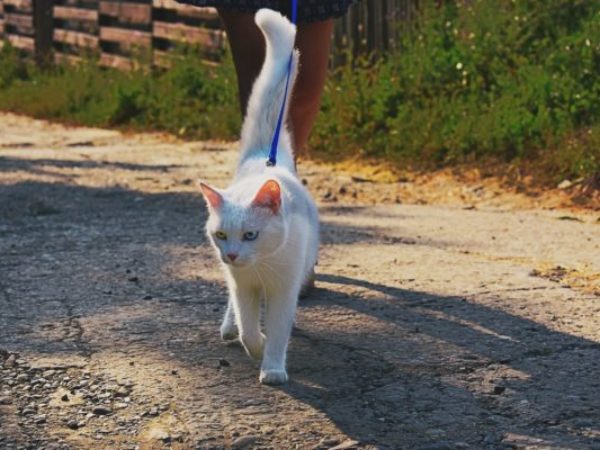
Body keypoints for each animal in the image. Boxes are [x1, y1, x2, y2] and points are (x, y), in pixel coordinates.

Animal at [197, 8, 318, 384]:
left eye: (251, 234)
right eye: (221, 234)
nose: (233, 254)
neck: (260, 266)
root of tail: (265, 156)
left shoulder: (283, 290)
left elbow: (279, 330)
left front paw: (273, 367)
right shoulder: (243, 287)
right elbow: (248, 325)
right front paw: (256, 345)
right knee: (234, 310)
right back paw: (228, 327)